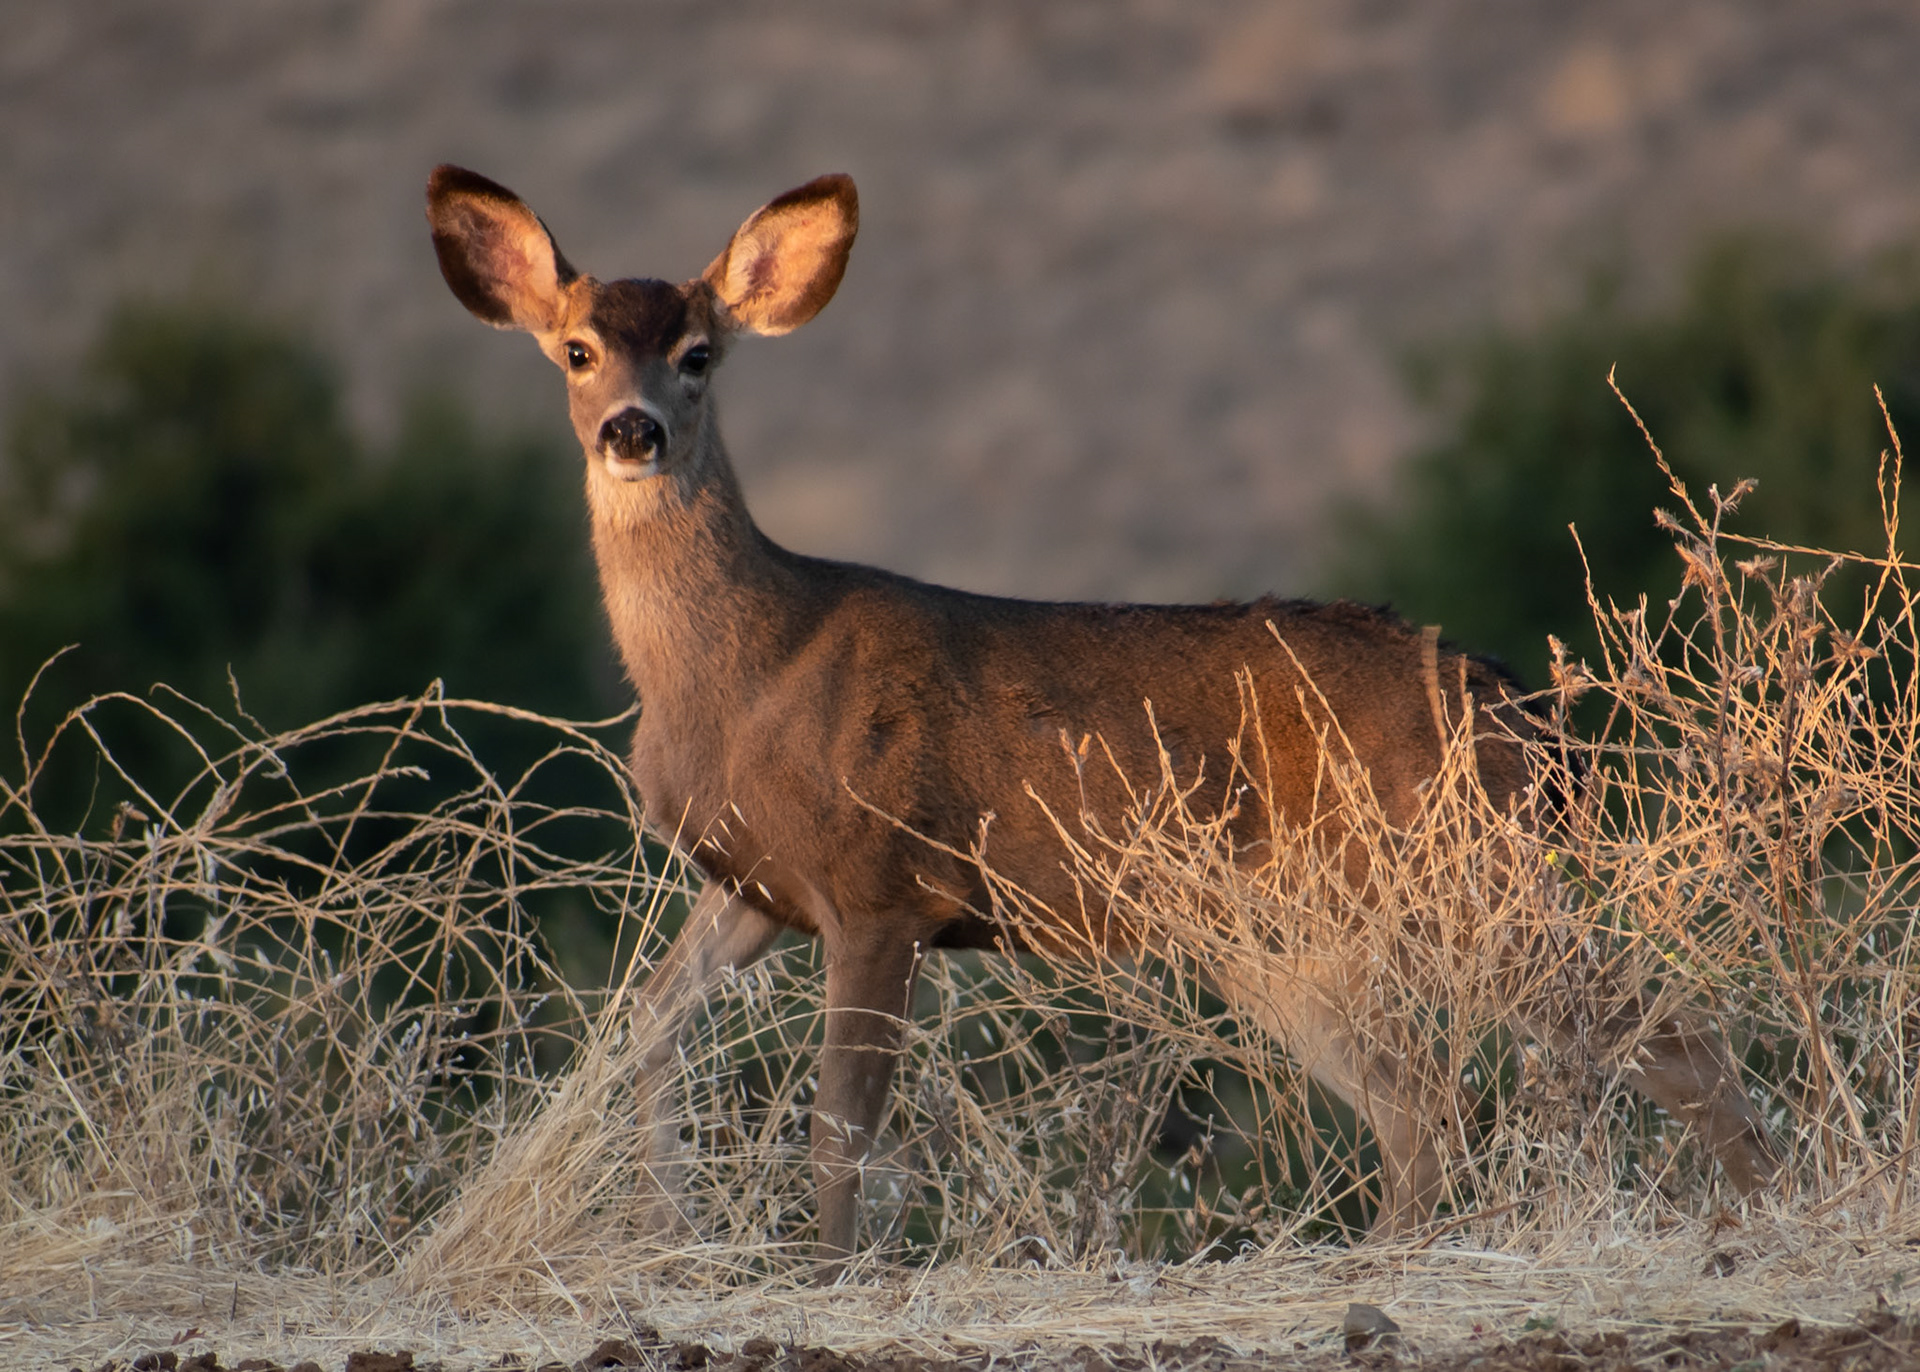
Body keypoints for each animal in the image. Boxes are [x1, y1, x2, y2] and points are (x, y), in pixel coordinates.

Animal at [424, 165, 1780, 1279]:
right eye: (576, 349)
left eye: (700, 352)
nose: (633, 429)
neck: (742, 670)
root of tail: (1516, 704)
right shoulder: (755, 883)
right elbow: (643, 1028)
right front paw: (668, 1228)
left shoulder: (883, 879)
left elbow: (839, 1121)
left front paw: (825, 1271)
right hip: (1287, 932)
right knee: (1426, 1101)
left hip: (1451, 864)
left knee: (1643, 1023)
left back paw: (1759, 1208)